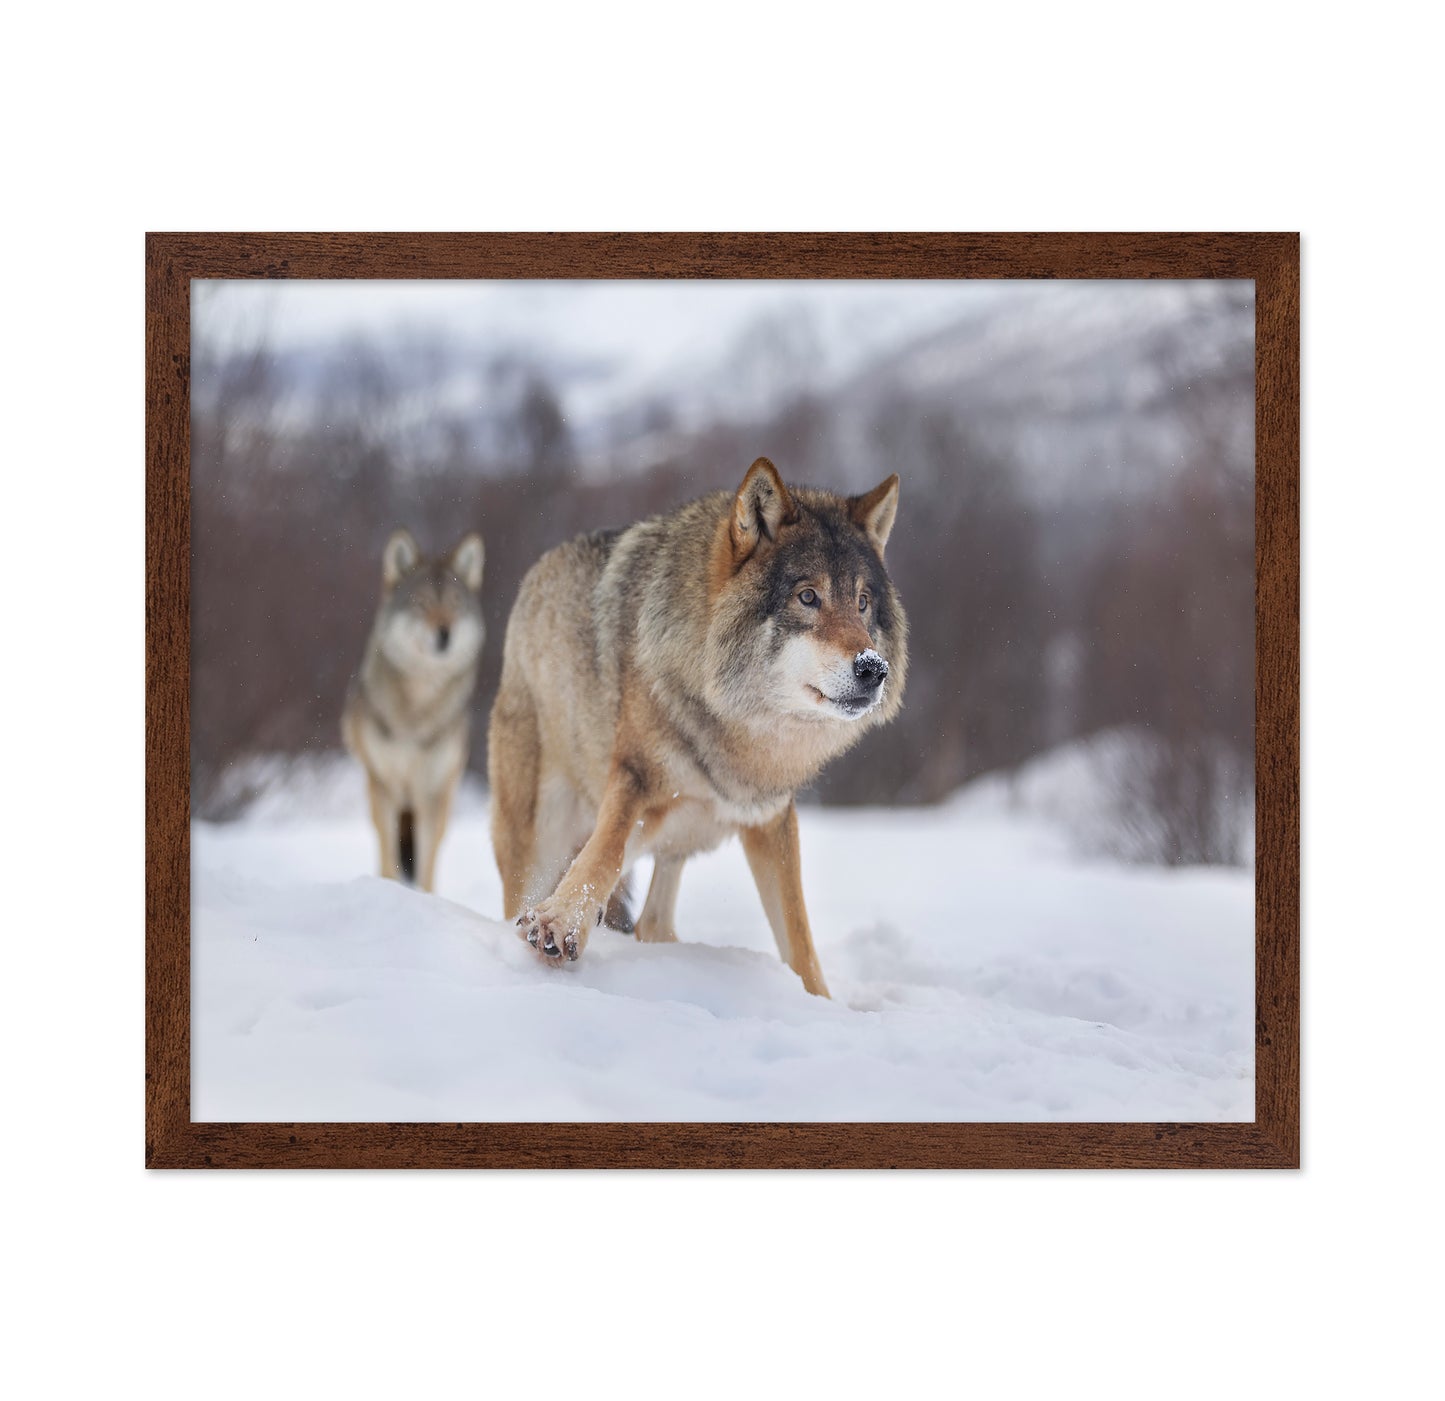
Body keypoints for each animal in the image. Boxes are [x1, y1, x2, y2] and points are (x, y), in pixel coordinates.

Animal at [342, 527, 485, 892]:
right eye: (422, 604)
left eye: (454, 604)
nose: (445, 634)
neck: (417, 710)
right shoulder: (385, 786)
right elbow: (389, 855)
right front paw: (388, 890)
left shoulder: (431, 792)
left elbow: (427, 865)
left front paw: (425, 899)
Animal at [487, 457, 906, 997]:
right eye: (808, 597)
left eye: (862, 602)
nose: (874, 669)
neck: (738, 727)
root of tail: (534, 579)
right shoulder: (635, 777)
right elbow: (603, 853)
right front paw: (559, 922)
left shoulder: (770, 817)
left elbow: (799, 939)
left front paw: (821, 1004)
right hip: (541, 836)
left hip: (672, 839)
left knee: (652, 922)